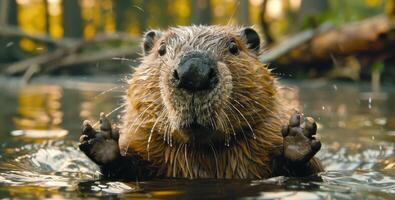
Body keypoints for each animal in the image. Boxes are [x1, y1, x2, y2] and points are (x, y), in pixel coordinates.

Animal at [79, 25, 324, 180]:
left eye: (234, 47)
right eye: (161, 49)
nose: (194, 71)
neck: (203, 153)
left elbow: (312, 168)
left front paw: (299, 135)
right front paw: (100, 136)